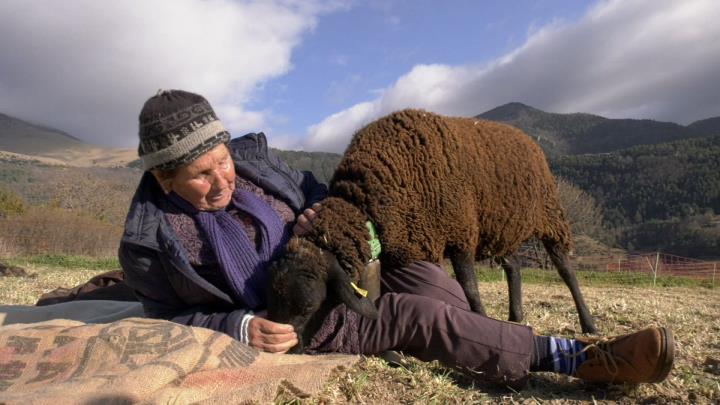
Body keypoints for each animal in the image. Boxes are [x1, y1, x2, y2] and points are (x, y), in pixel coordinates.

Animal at [268, 108, 592, 350]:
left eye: (308, 307)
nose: (290, 350)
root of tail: (525, 137)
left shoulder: (460, 232)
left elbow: (471, 289)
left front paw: (481, 319)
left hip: (550, 215)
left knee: (565, 269)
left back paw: (588, 323)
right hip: (502, 227)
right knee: (513, 267)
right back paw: (516, 316)